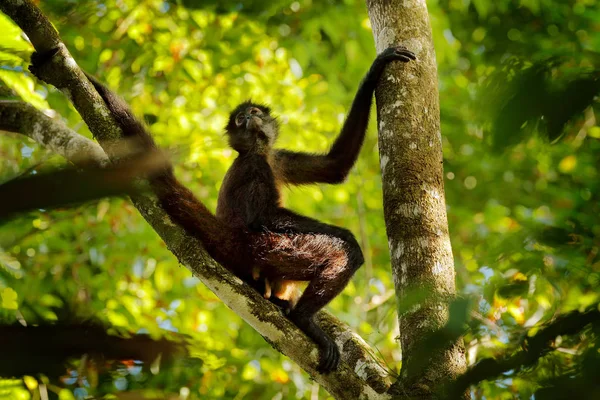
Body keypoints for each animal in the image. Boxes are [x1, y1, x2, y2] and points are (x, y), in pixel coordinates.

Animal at [28, 44, 412, 372]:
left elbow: (335, 166)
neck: (257, 152)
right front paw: (344, 234)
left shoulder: (275, 157)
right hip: (269, 247)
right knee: (337, 252)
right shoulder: (255, 165)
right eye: (240, 119)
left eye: (253, 113)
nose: (248, 118)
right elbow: (264, 217)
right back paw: (302, 317)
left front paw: (375, 71)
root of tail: (229, 237)